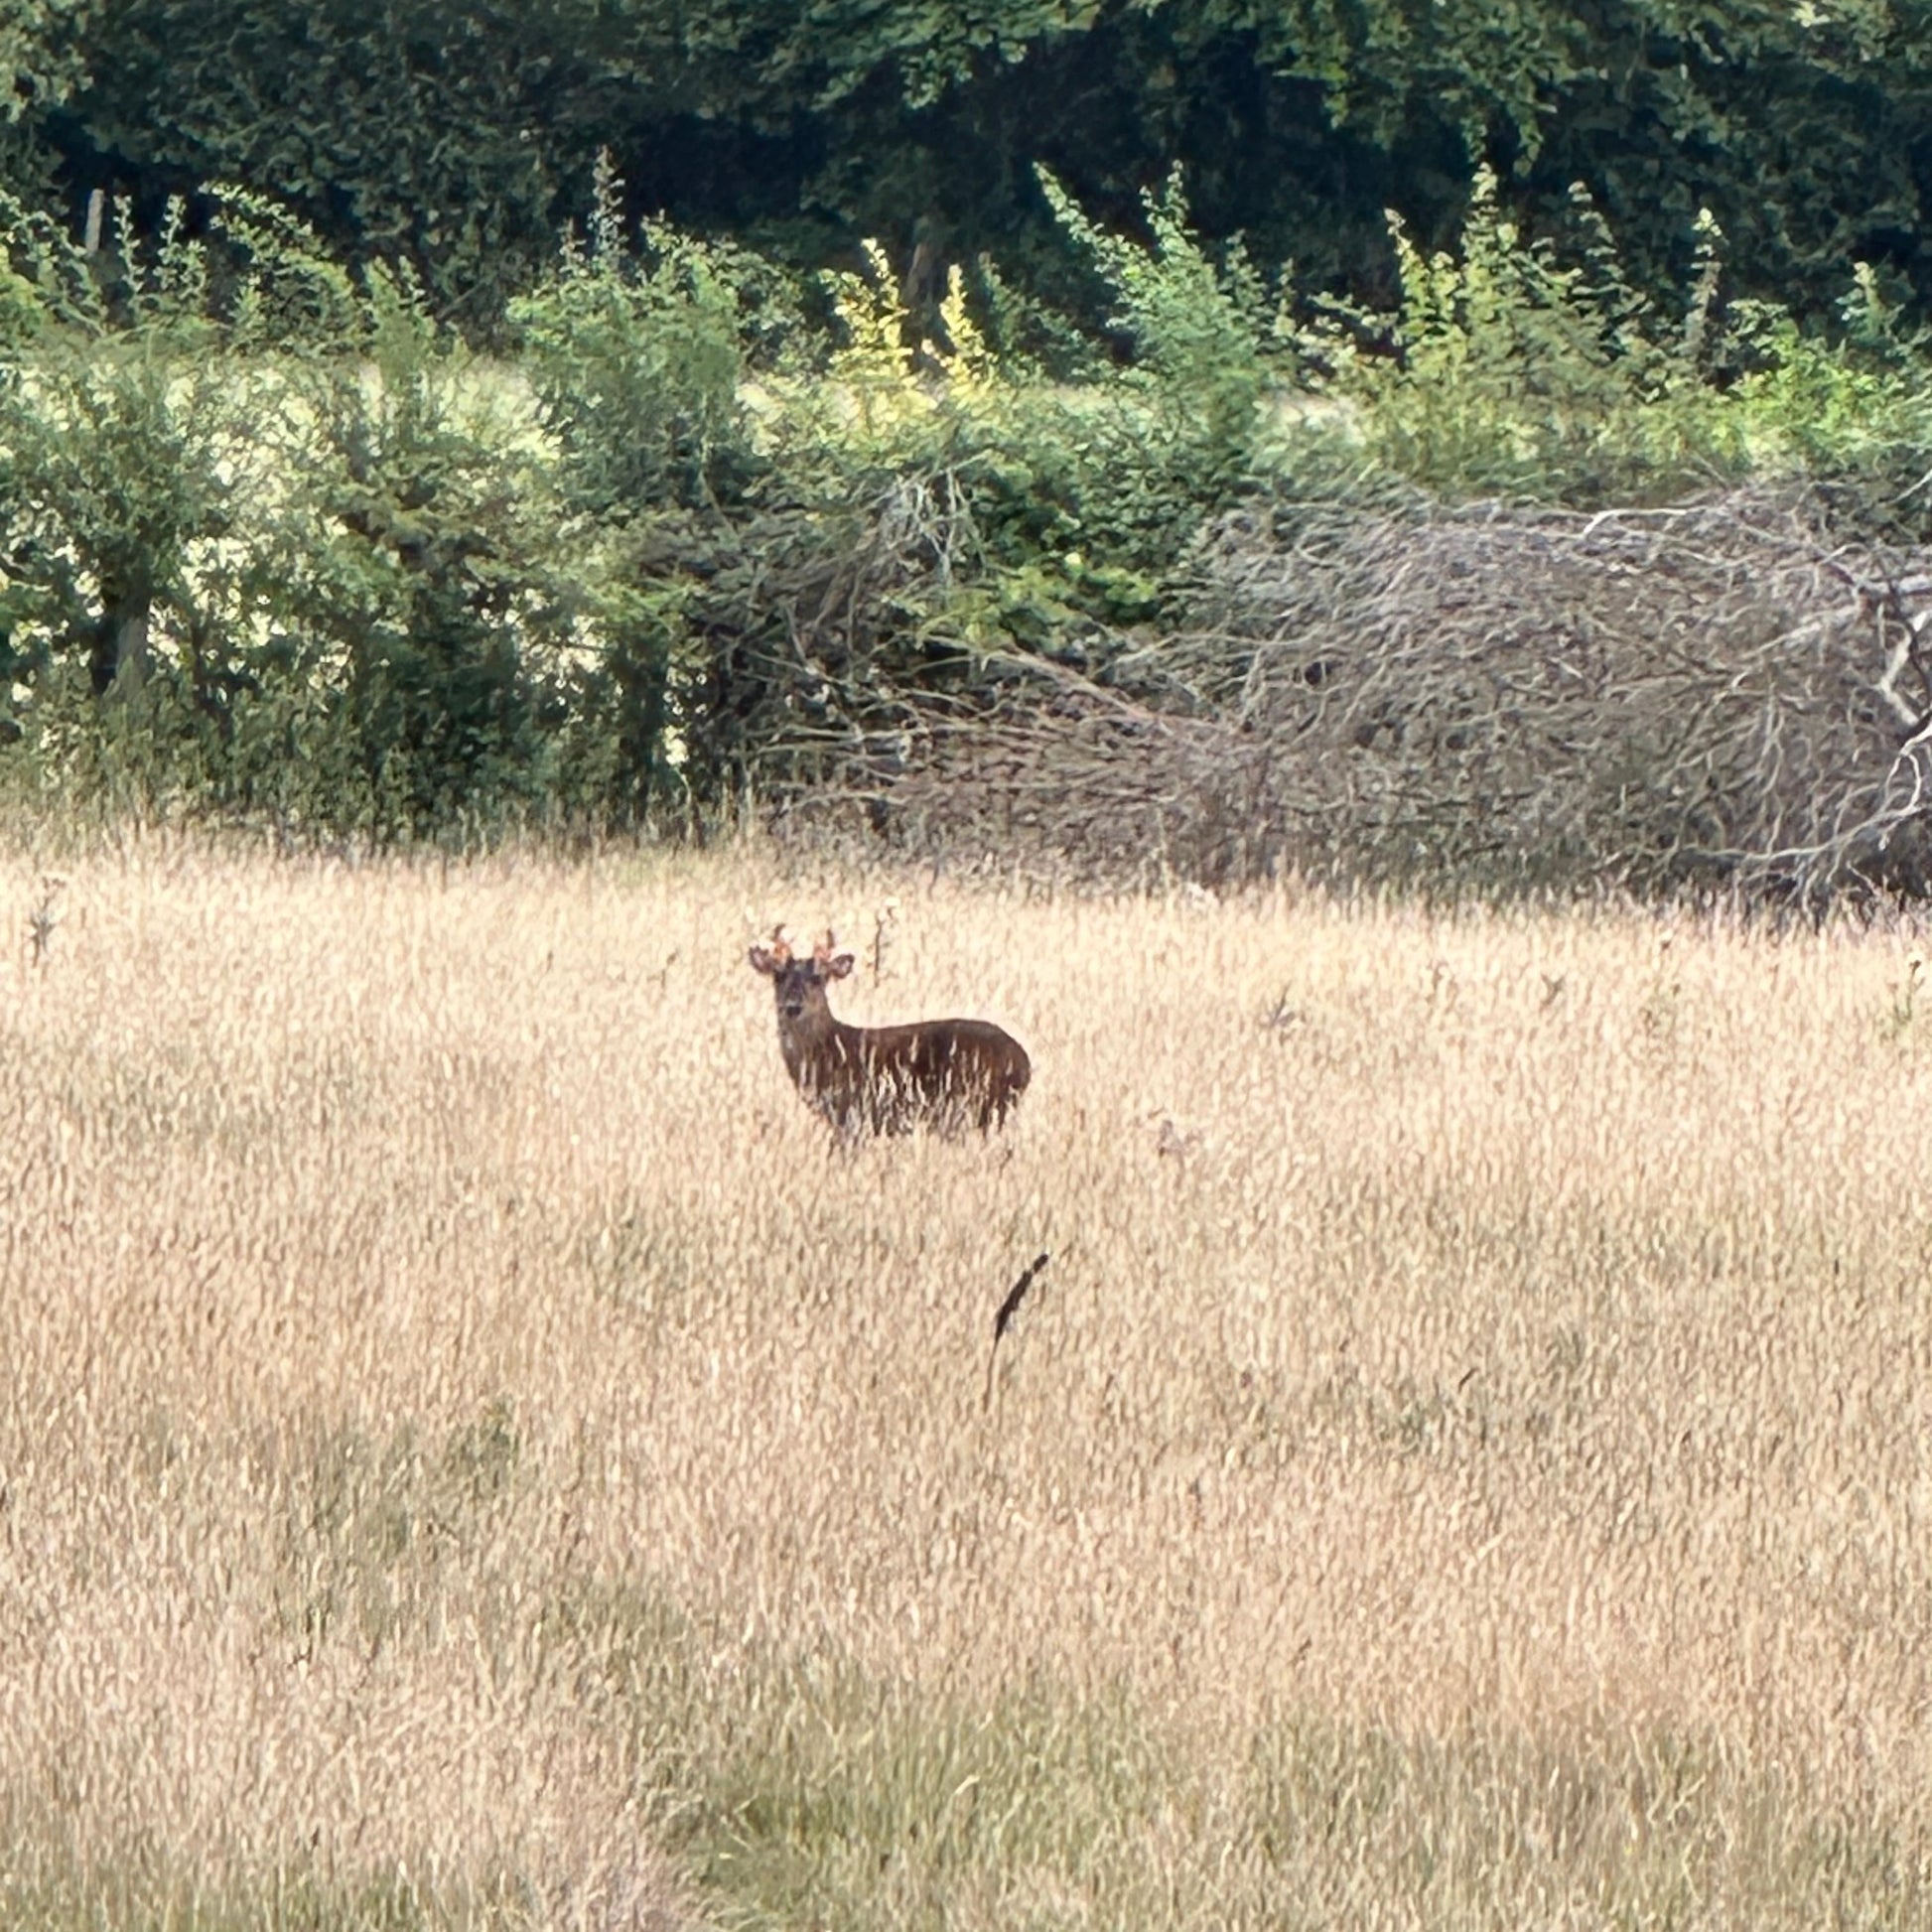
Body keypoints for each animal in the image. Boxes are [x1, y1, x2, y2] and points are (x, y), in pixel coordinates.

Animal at [748, 928, 1031, 1136]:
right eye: (777, 975)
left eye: (818, 978)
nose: (792, 1006)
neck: (829, 1050)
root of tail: (1024, 1063)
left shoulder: (852, 1116)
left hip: (976, 1107)